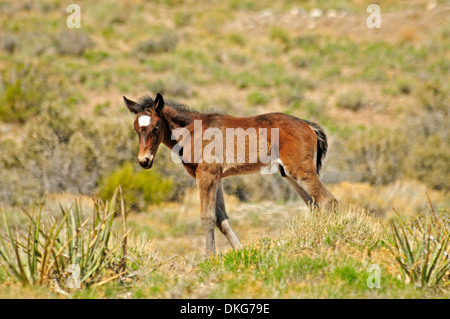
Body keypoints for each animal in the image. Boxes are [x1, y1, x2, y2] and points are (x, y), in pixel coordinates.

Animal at [123, 92, 338, 255]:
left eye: (156, 127)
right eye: (136, 129)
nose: (144, 161)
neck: (192, 131)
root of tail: (308, 125)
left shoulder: (206, 176)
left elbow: (208, 217)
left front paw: (209, 258)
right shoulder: (216, 179)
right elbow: (222, 220)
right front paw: (240, 251)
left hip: (301, 171)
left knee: (328, 201)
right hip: (289, 174)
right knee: (314, 205)